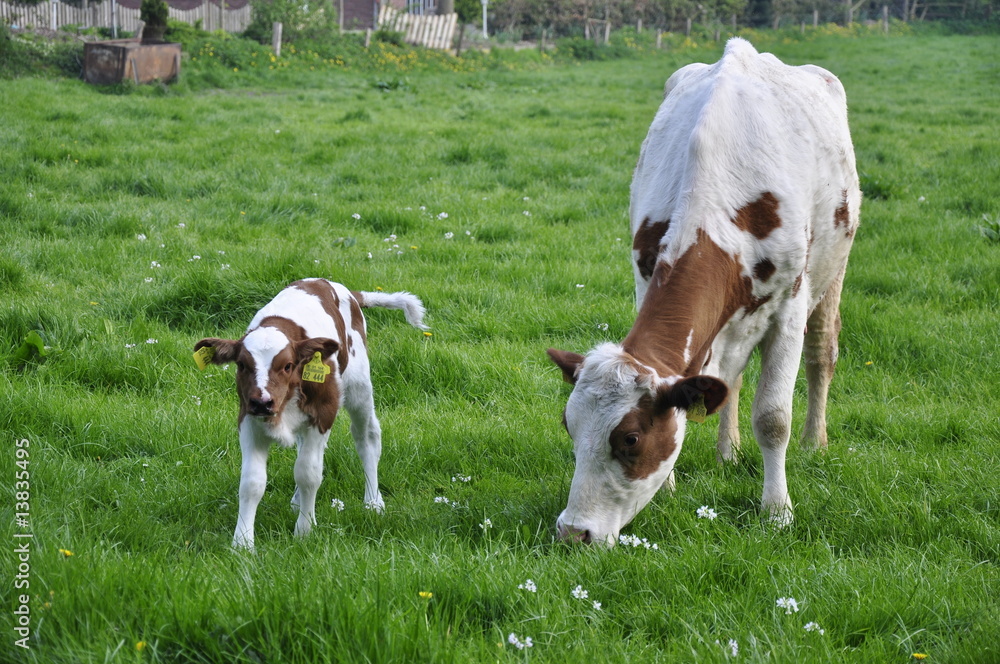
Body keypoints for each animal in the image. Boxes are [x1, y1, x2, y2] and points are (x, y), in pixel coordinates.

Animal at [194, 278, 428, 550]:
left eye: (287, 365)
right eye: (242, 365)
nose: (263, 402)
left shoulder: (322, 415)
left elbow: (308, 473)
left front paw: (304, 530)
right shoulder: (249, 419)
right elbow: (252, 482)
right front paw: (242, 542)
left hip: (359, 387)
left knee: (367, 439)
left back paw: (372, 502)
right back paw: (297, 501)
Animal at [547, 38, 860, 545]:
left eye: (630, 438)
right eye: (569, 426)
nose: (574, 532)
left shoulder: (789, 307)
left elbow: (773, 417)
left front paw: (777, 511)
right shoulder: (645, 281)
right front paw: (670, 488)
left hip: (834, 268)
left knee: (822, 352)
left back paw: (815, 443)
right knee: (729, 380)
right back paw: (727, 451)